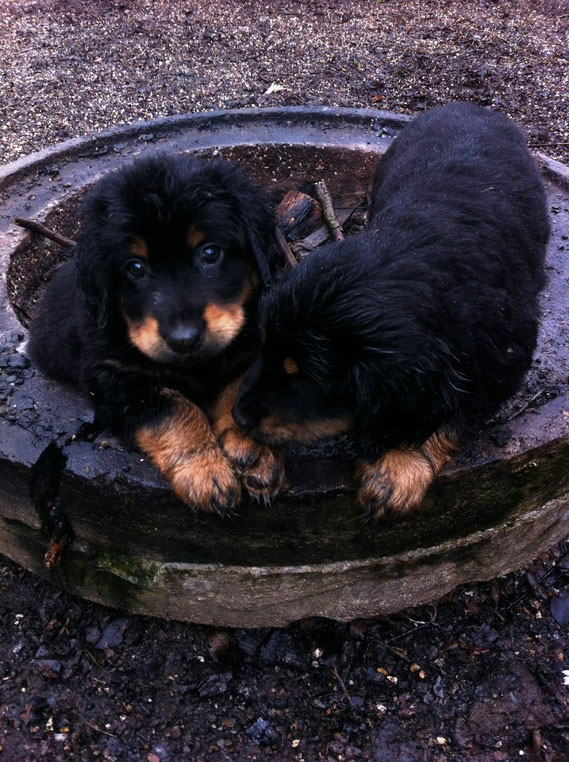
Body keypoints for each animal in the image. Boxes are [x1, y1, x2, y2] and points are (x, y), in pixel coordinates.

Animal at [27, 152, 284, 510]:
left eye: (210, 253)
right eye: (135, 267)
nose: (184, 339)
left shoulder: (255, 345)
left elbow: (242, 388)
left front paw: (254, 453)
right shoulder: (114, 378)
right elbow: (175, 409)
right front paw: (206, 472)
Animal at [233, 102, 548, 516]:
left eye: (303, 379)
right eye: (264, 346)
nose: (238, 416)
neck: (417, 255)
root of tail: (467, 106)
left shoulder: (502, 361)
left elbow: (451, 415)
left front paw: (395, 470)